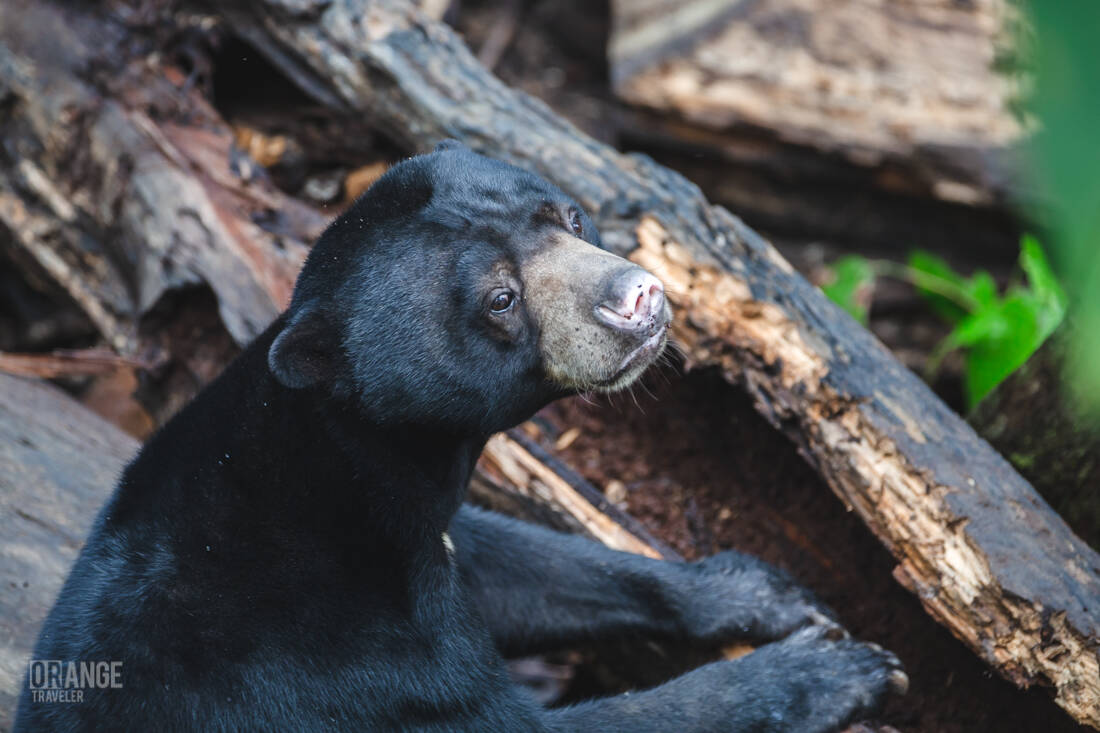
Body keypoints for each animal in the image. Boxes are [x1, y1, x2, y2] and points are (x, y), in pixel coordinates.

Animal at [15, 142, 905, 732]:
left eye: (569, 215)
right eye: (500, 297)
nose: (642, 298)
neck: (350, 463)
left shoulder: (428, 538)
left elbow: (536, 566)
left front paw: (763, 588)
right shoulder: (351, 664)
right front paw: (838, 667)